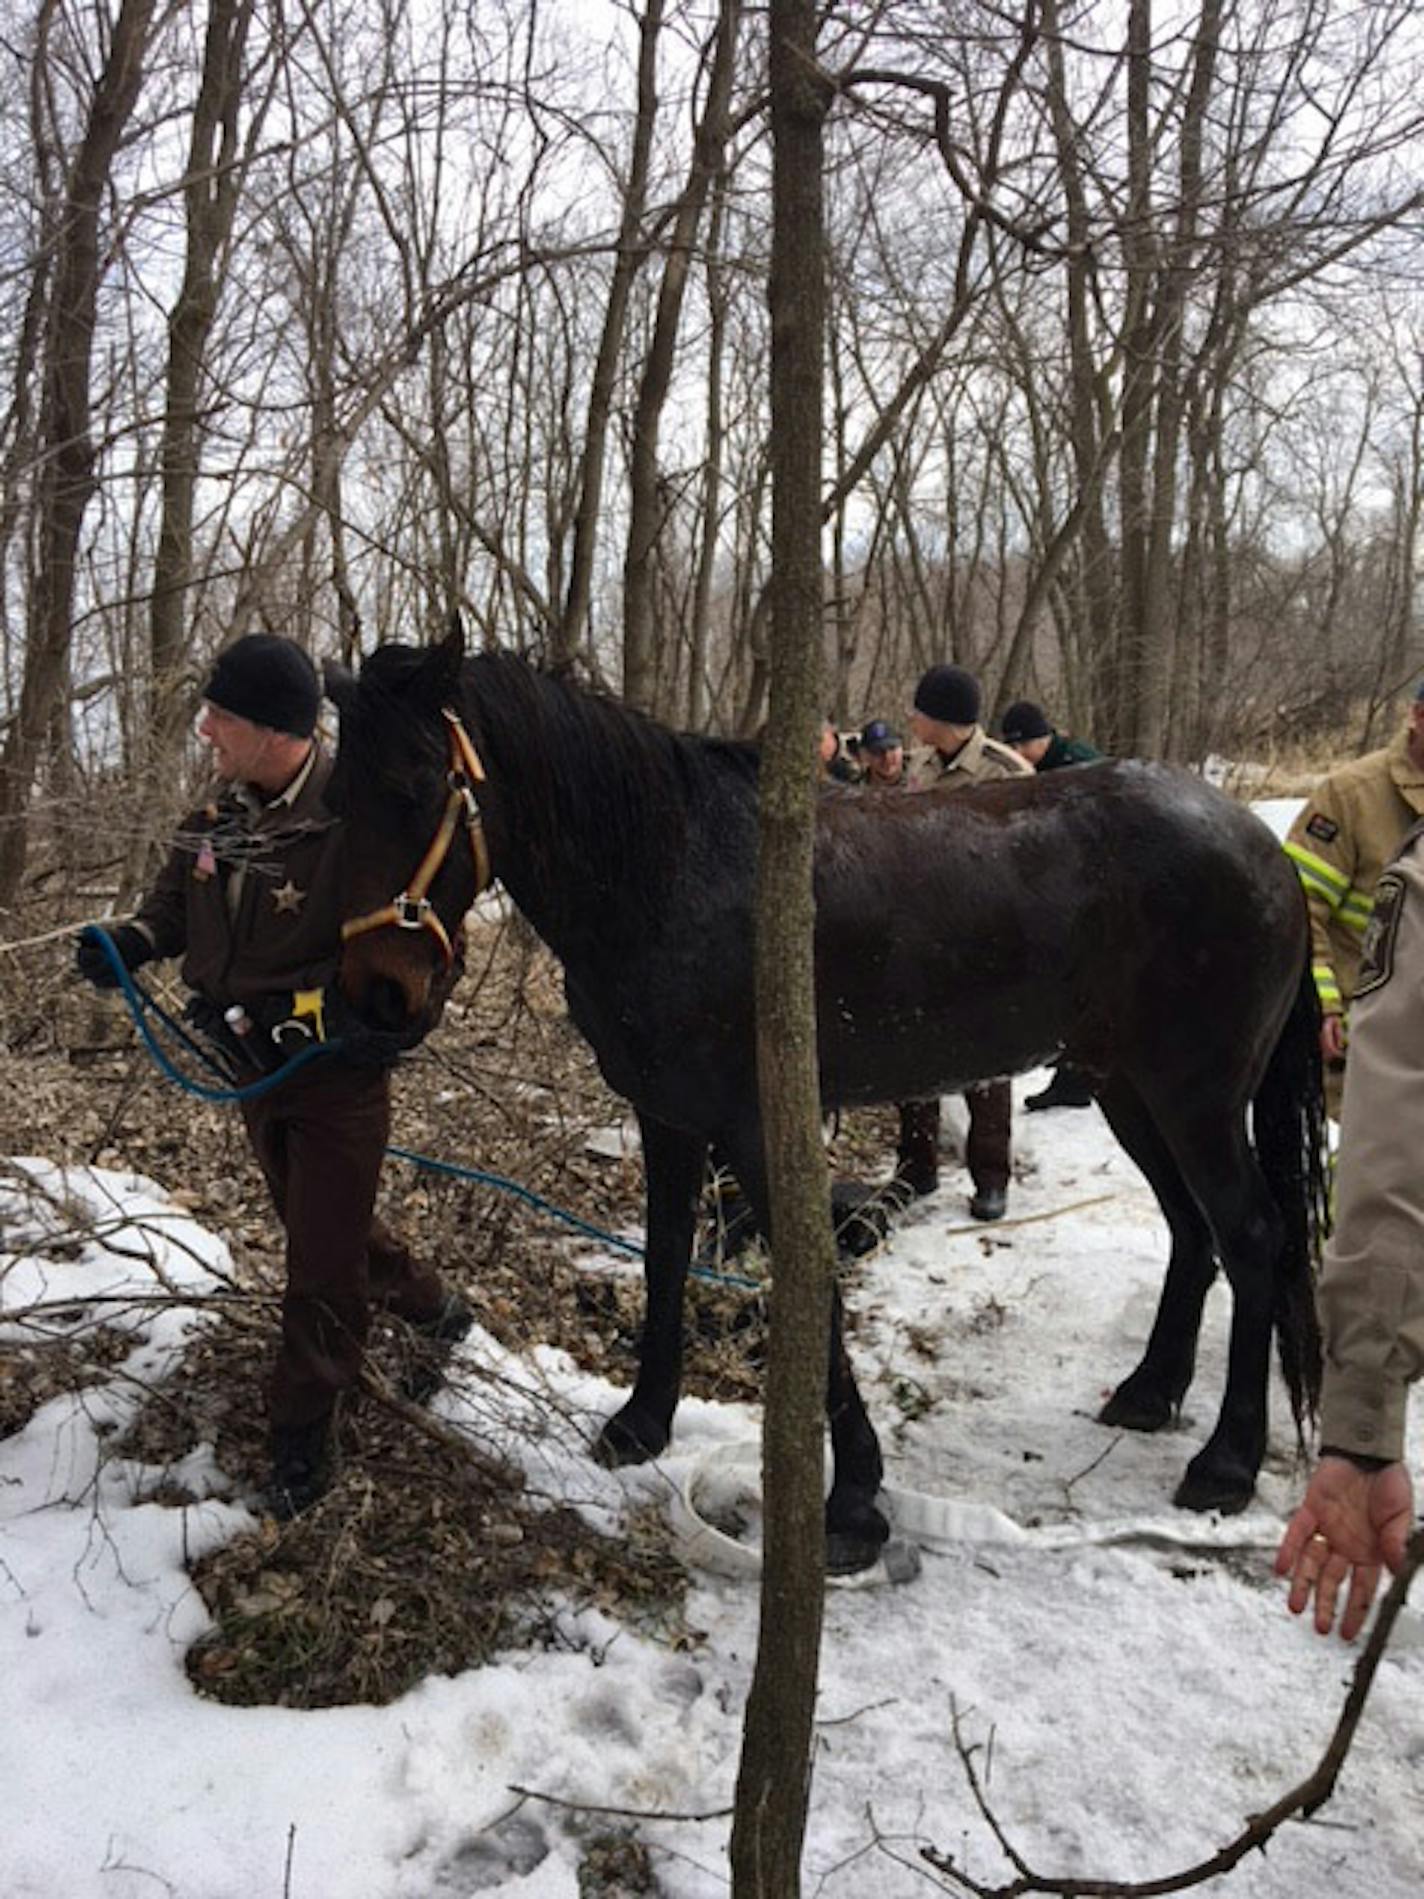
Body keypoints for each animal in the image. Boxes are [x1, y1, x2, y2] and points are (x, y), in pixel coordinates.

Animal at [322, 634, 1329, 1572]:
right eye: (336, 794)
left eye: (412, 784)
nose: (373, 992)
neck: (669, 872)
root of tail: (1266, 849)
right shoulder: (671, 1118)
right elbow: (665, 1257)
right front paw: (643, 1423)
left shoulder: (759, 1129)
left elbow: (811, 1290)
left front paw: (852, 1502)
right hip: (1131, 1089)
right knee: (1193, 1231)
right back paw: (1150, 1392)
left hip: (1195, 1098)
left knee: (1251, 1236)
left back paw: (1226, 1462)